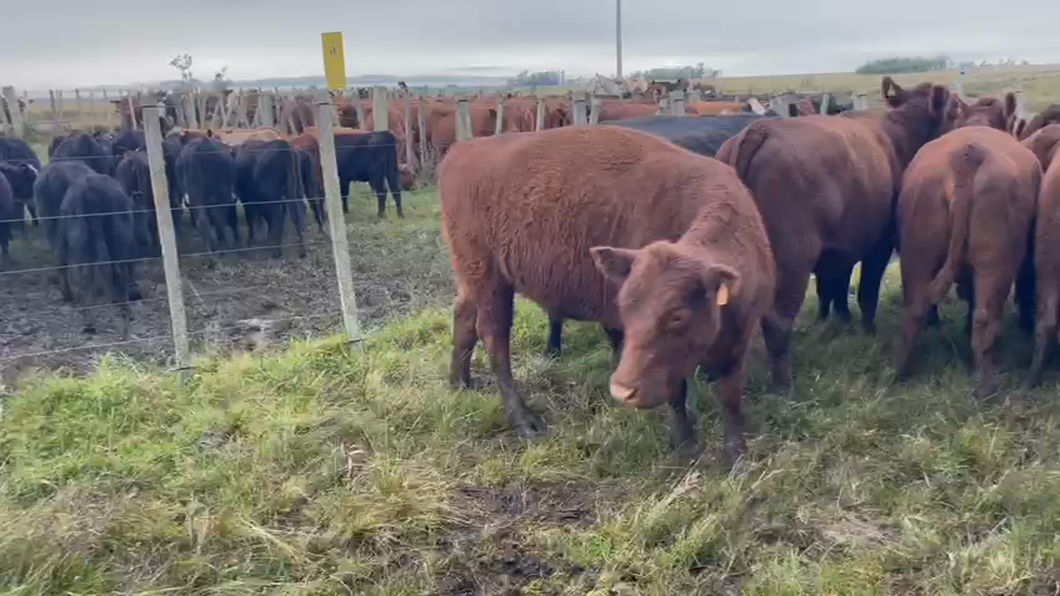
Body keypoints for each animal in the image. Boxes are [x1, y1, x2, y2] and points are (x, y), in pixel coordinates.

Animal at [440, 125, 780, 460]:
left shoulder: (738, 341)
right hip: (490, 279)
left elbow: (730, 397)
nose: (621, 391)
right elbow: (677, 393)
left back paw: (460, 383)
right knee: (495, 337)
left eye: (678, 315)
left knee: (464, 319)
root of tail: (462, 150)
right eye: (625, 308)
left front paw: (737, 456)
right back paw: (525, 421)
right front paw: (685, 445)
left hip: (471, 278)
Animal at [716, 77, 958, 390]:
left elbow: (834, 285)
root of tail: (759, 130)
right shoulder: (879, 243)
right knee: (777, 321)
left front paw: (836, 320)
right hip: (793, 256)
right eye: (956, 110)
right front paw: (868, 330)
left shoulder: (841, 245)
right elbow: (867, 289)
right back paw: (784, 387)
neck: (899, 136)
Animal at [894, 97, 1034, 396]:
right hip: (996, 261)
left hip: (917, 250)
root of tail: (967, 155)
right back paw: (985, 390)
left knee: (913, 311)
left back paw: (900, 374)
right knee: (984, 319)